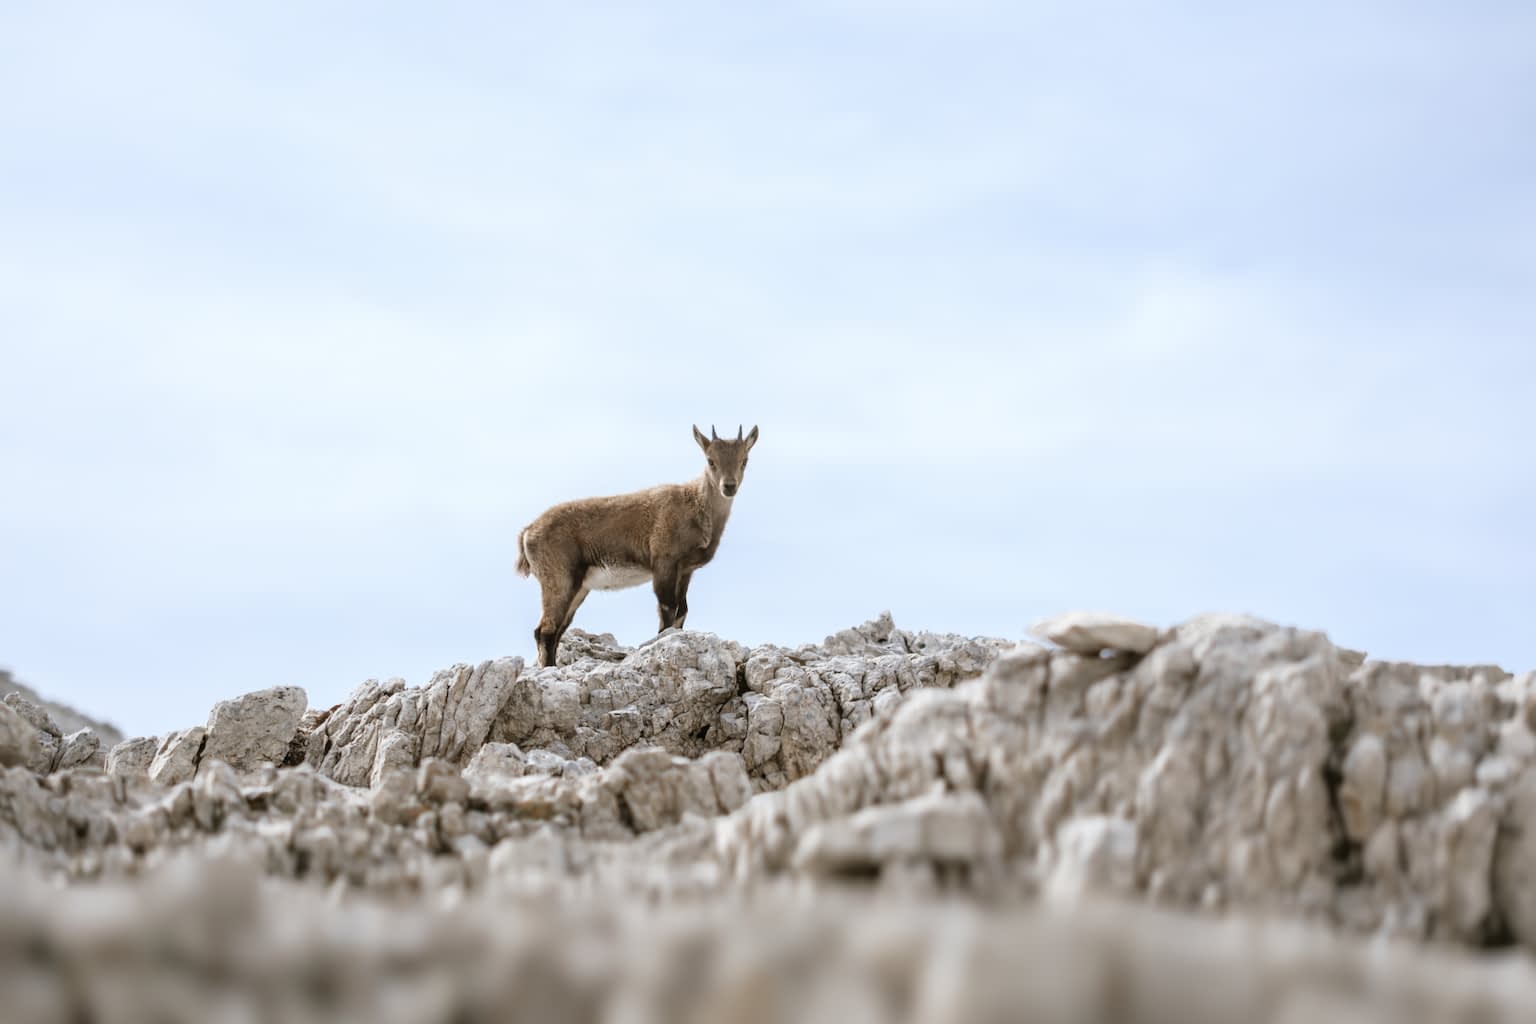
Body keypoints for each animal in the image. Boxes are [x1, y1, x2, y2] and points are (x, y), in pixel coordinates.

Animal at [515, 424, 759, 667]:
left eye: (744, 460)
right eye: (711, 460)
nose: (729, 487)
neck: (695, 506)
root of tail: (527, 531)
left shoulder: (686, 571)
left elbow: (682, 611)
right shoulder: (664, 564)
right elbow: (667, 611)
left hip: (578, 587)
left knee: (557, 630)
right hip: (559, 579)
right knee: (545, 631)